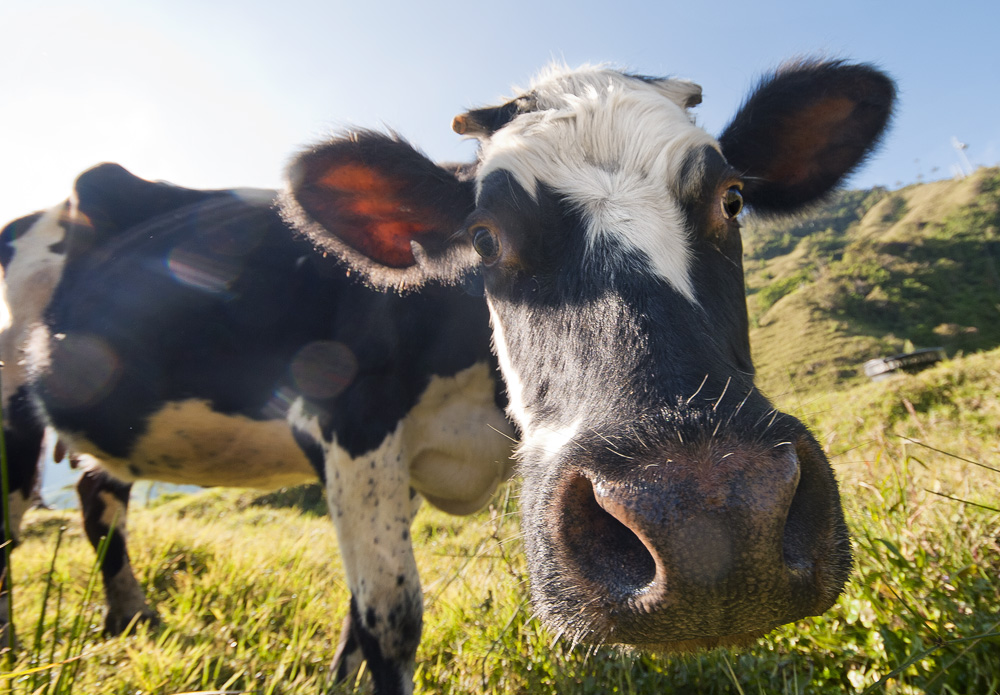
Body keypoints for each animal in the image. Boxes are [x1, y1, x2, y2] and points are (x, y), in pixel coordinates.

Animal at [0, 163, 514, 695]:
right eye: (486, 237)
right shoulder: (353, 422)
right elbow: (391, 618)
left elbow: (360, 611)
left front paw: (339, 682)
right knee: (9, 523)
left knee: (97, 496)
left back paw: (131, 615)